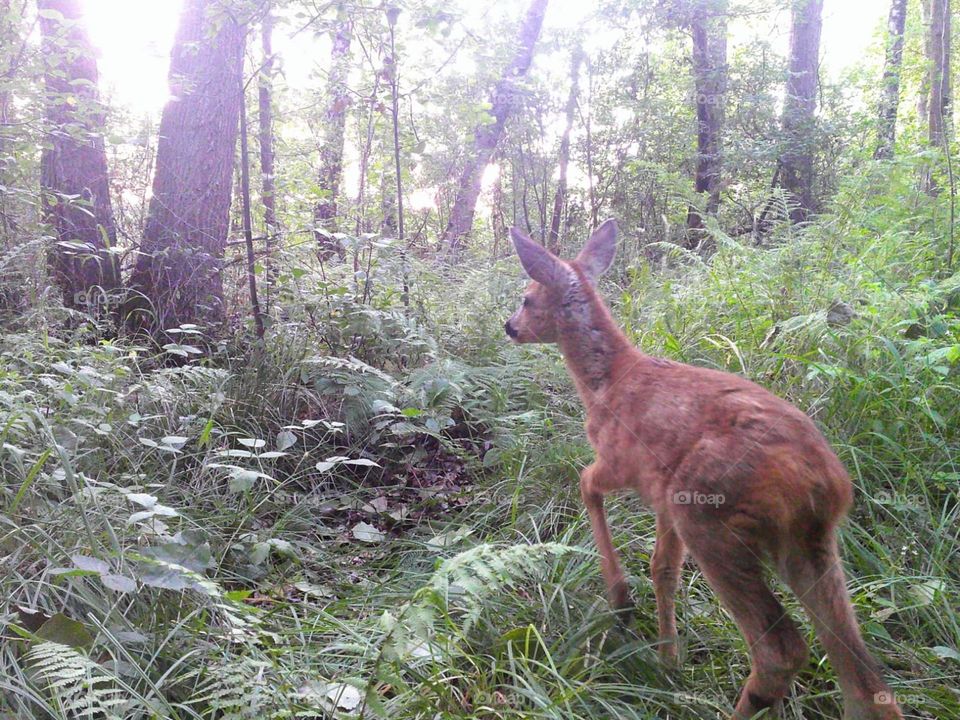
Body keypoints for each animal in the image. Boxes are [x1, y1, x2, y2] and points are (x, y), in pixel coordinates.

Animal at [504, 219, 903, 720]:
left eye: (526, 298)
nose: (509, 327)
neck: (605, 384)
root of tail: (825, 485)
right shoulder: (661, 496)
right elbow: (663, 567)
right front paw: (668, 657)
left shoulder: (620, 462)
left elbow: (585, 485)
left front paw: (621, 600)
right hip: (810, 545)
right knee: (865, 678)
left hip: (710, 519)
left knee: (781, 649)